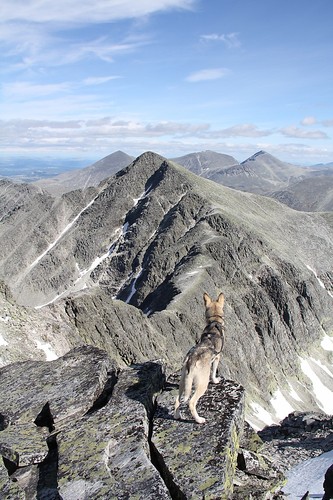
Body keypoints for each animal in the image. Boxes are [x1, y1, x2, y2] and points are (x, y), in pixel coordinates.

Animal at [172, 292, 224, 424]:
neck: (214, 322)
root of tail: (191, 361)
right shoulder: (217, 357)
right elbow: (213, 372)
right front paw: (215, 380)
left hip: (183, 381)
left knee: (177, 400)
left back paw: (177, 415)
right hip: (202, 384)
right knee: (191, 402)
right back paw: (199, 419)